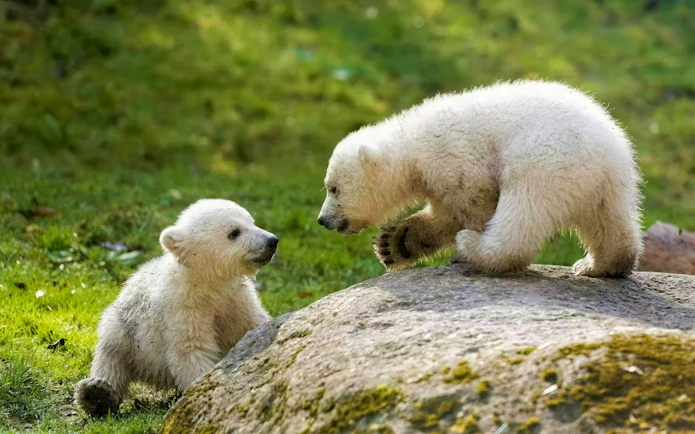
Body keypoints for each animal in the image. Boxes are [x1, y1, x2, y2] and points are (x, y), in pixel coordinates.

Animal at [74, 199, 276, 417]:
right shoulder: (183, 309)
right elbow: (191, 350)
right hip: (126, 329)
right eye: (234, 232)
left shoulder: (238, 300)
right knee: (111, 356)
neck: (209, 285)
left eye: (252, 221)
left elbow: (254, 325)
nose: (272, 241)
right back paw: (96, 393)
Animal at [317, 79, 643, 277]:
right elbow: (445, 215)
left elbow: (475, 203)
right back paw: (600, 265)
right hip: (607, 186)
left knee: (524, 211)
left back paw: (476, 249)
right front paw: (395, 243)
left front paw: (458, 248)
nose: (323, 220)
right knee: (609, 222)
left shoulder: (452, 160)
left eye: (333, 189)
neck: (413, 144)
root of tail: (608, 152)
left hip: (547, 161)